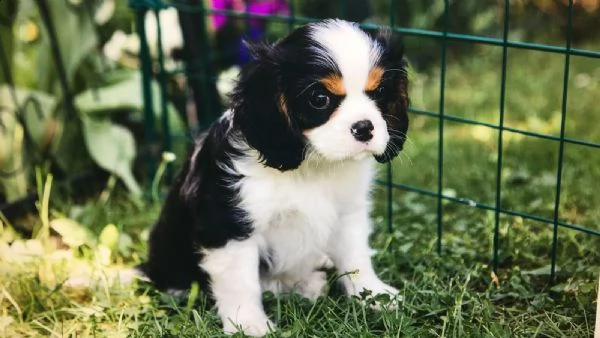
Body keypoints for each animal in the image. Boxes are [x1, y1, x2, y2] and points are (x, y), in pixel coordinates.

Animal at [141, 19, 410, 338]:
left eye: (379, 91)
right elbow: (241, 281)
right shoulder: (230, 224)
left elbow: (357, 257)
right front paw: (249, 324)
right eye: (319, 98)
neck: (313, 165)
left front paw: (373, 294)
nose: (365, 127)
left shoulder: (348, 213)